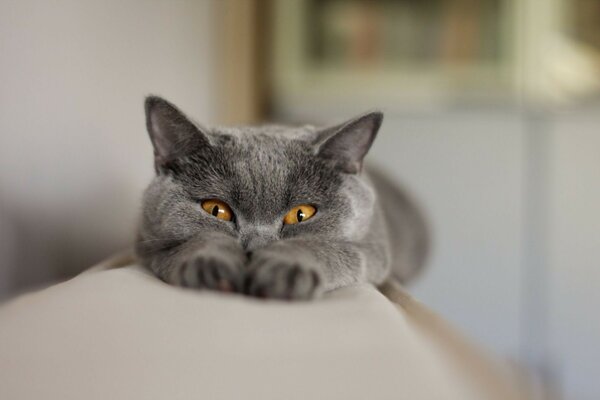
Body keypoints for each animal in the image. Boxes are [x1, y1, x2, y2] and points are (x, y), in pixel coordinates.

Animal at [135, 97, 426, 300]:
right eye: (216, 210)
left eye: (301, 214)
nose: (256, 249)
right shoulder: (147, 244)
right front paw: (210, 267)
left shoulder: (372, 248)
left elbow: (324, 247)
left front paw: (284, 270)